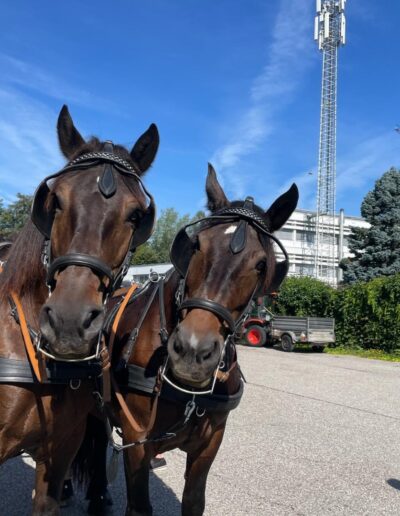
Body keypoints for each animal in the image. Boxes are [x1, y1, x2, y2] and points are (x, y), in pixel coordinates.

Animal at [79, 163, 296, 512]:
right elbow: (139, 506)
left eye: (262, 264)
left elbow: (194, 501)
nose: (193, 351)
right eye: (195, 245)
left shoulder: (210, 442)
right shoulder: (136, 439)